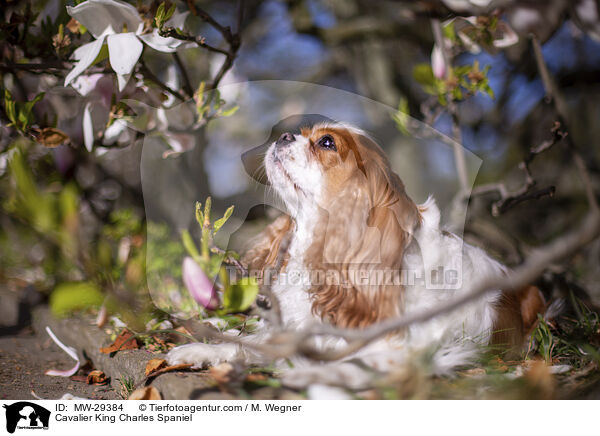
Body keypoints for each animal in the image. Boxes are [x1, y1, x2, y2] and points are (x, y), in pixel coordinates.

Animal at [165, 122, 544, 388]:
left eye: (326, 143)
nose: (284, 135)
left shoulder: (409, 353)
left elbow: (356, 364)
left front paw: (309, 374)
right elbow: (251, 342)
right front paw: (203, 350)